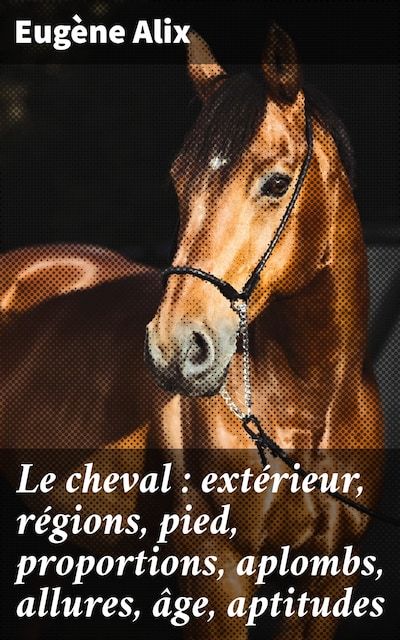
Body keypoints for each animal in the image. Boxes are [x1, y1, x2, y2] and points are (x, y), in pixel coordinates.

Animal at [1, 24, 384, 640]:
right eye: (180, 181)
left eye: (276, 183)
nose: (175, 347)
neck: (306, 406)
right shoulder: (216, 575)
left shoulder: (328, 577)